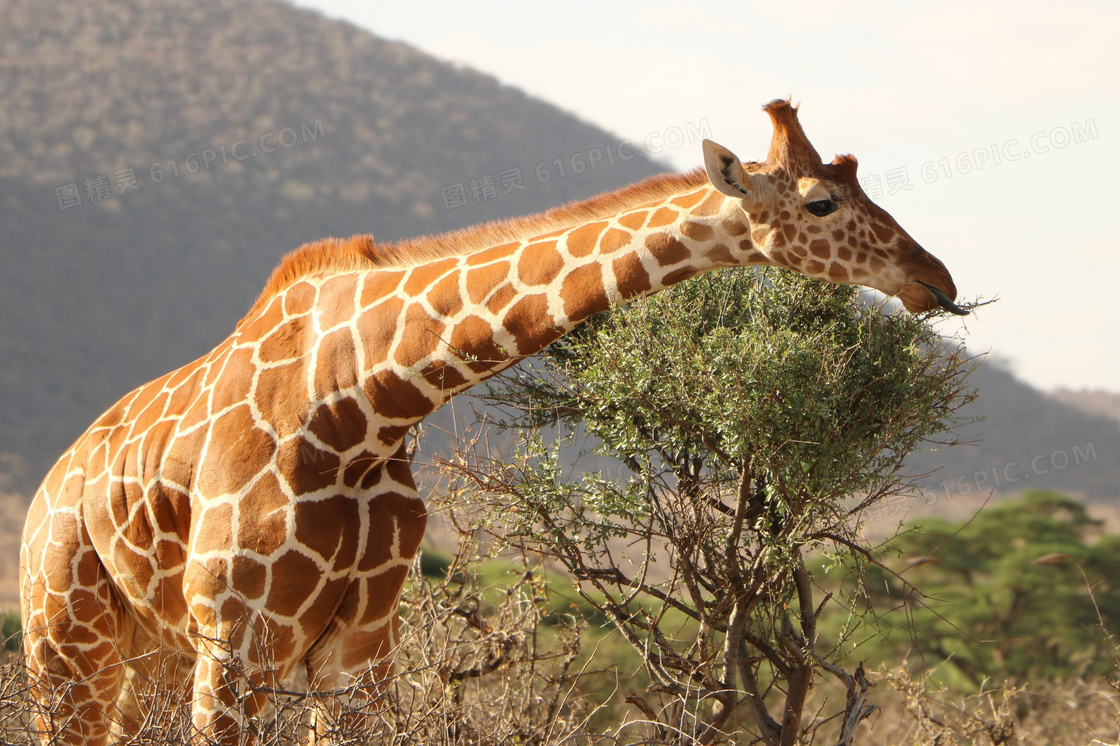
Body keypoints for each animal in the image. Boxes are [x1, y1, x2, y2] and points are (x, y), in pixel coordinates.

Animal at [17, 97, 963, 739]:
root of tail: (48, 490)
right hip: (66, 641)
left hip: (154, 656)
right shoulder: (238, 639)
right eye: (820, 203)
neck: (361, 406)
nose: (938, 277)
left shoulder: (359, 643)